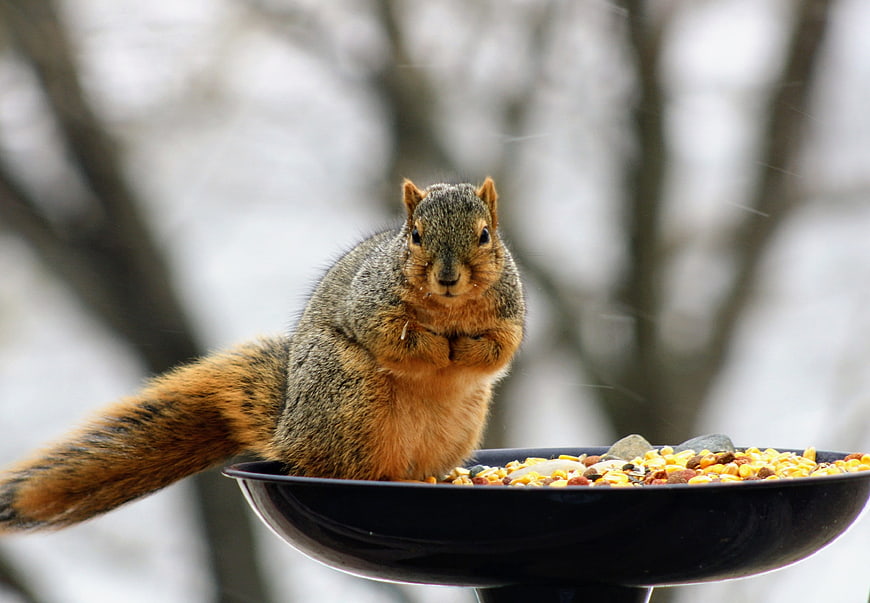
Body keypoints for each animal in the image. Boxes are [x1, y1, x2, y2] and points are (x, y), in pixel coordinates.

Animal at [0, 178, 525, 533]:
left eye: (485, 235)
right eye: (415, 235)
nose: (448, 277)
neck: (448, 308)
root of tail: (288, 432)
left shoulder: (510, 315)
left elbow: (498, 349)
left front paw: (464, 349)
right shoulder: (370, 306)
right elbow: (393, 337)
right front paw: (438, 347)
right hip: (348, 395)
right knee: (338, 468)